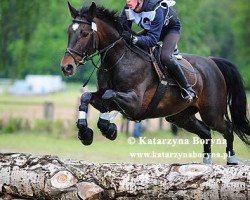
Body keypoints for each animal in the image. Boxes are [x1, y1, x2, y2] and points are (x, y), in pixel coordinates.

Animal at [61, 1, 250, 164]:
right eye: (69, 32)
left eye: (85, 33)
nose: (66, 67)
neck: (117, 60)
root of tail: (212, 62)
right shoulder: (107, 98)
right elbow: (87, 97)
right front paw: (85, 132)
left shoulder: (135, 103)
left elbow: (108, 96)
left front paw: (108, 129)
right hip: (180, 116)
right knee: (205, 132)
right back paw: (206, 163)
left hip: (212, 113)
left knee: (228, 128)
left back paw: (231, 160)